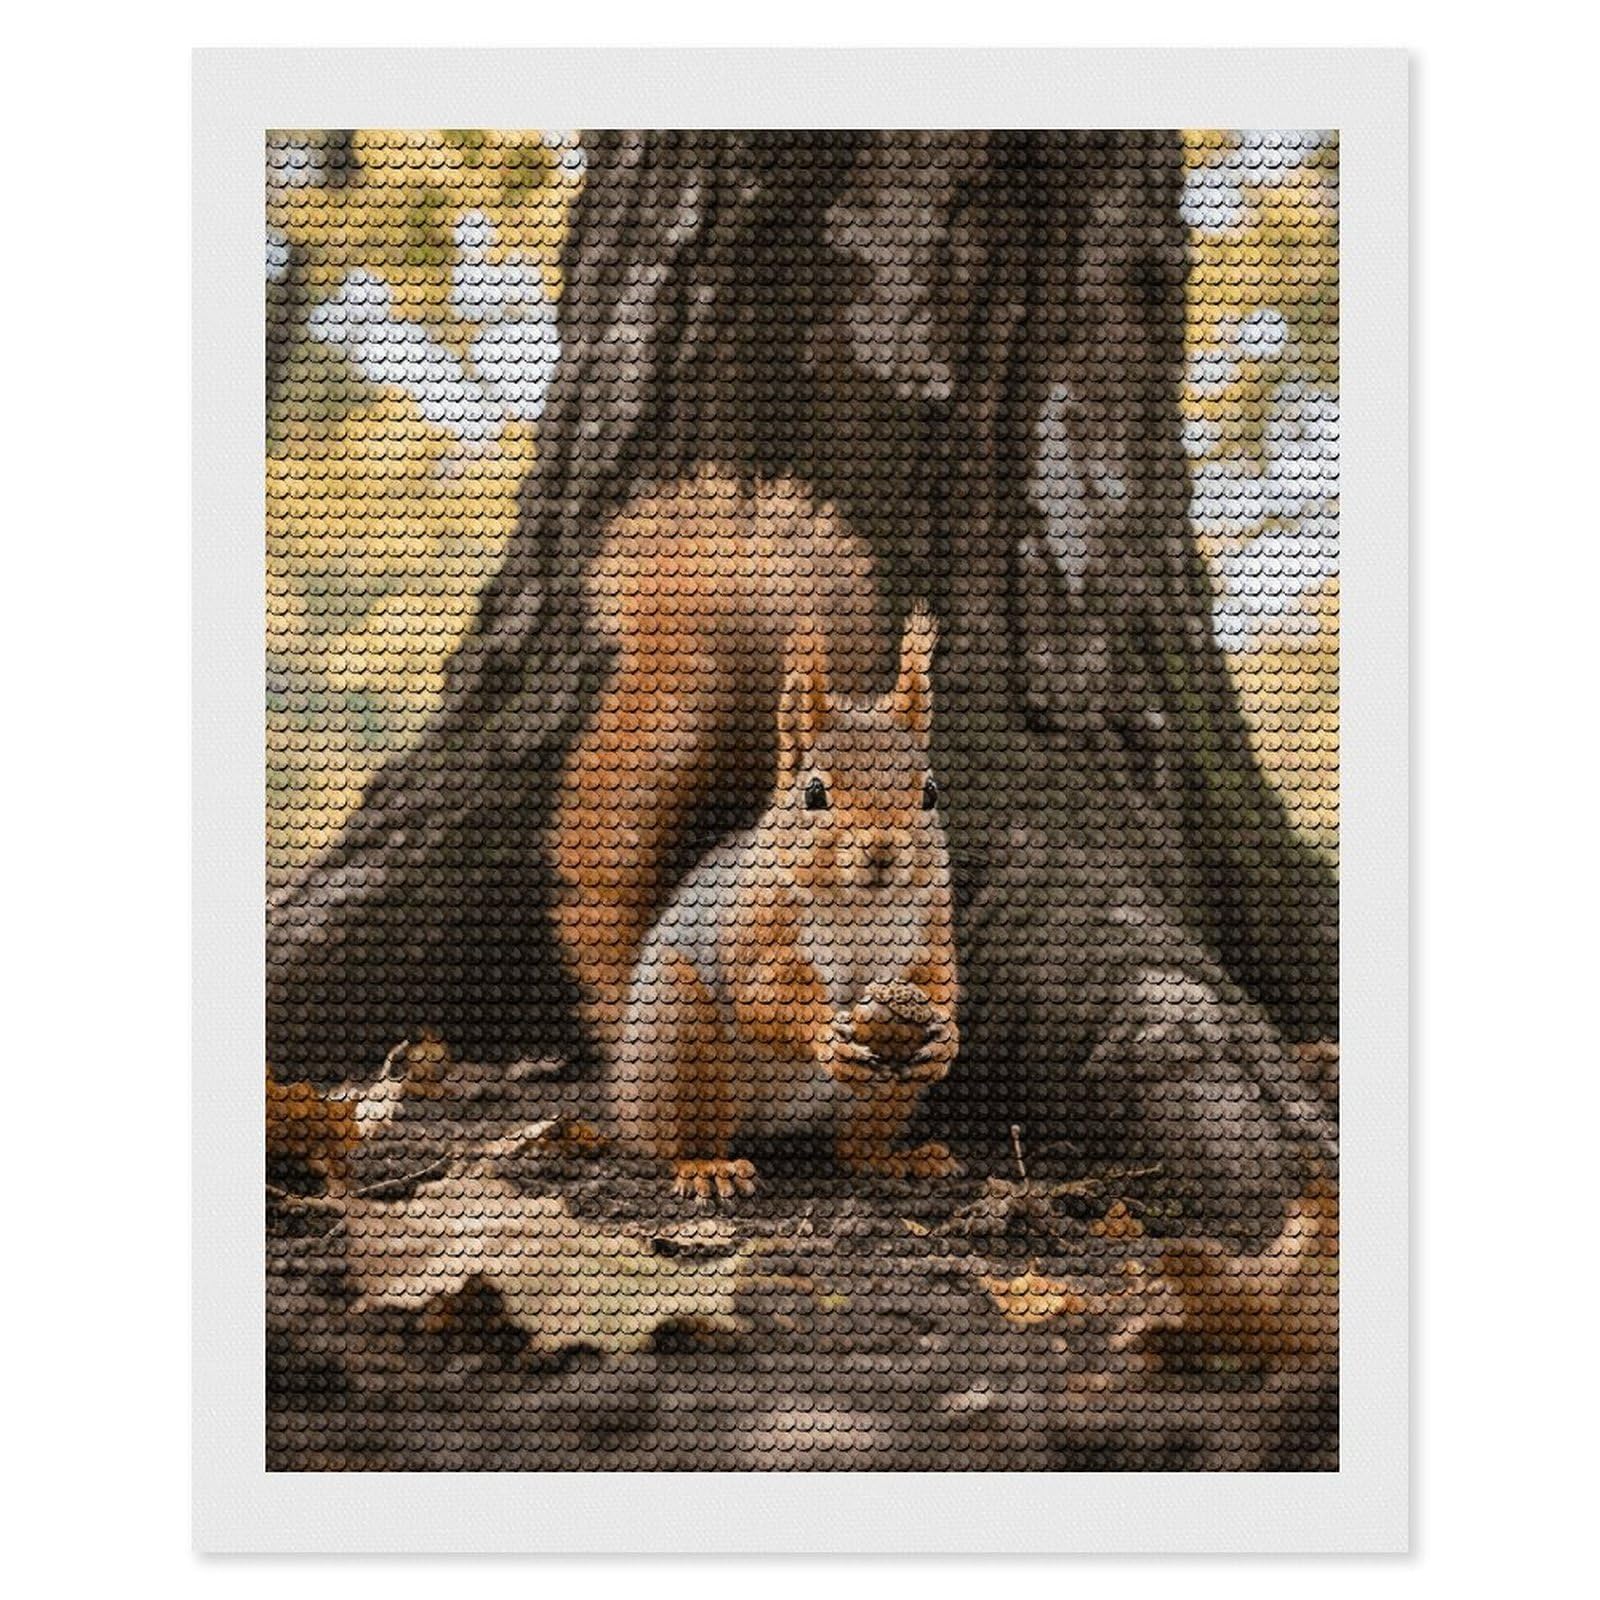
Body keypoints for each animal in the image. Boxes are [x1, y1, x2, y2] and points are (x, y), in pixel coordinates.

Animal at [550, 468, 960, 1199]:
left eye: (930, 793)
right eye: (815, 794)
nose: (882, 853)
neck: (860, 907)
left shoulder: (932, 917)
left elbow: (943, 978)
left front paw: (947, 1037)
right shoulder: (755, 923)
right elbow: (763, 992)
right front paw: (824, 1030)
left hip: (880, 1094)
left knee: (854, 1148)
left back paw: (898, 1157)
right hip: (684, 1034)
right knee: (677, 1136)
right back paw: (707, 1166)